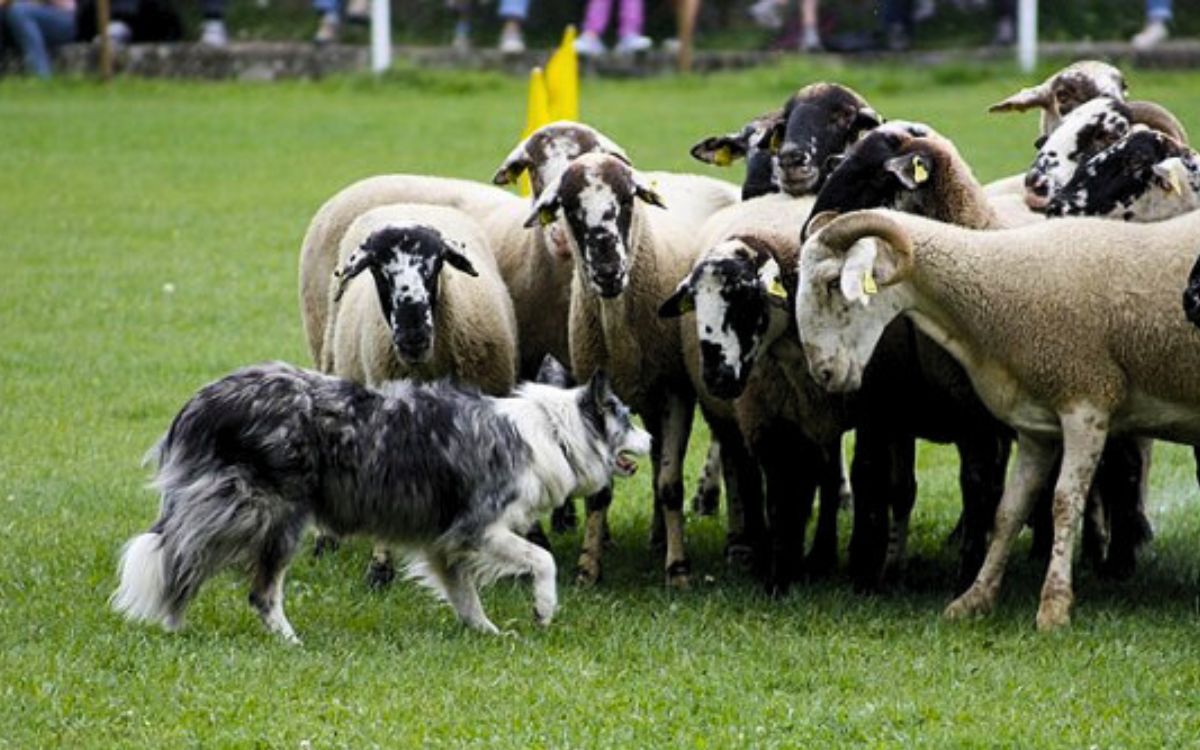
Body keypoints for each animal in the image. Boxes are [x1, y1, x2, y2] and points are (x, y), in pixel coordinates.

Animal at [112, 360, 652, 638]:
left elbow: (465, 595)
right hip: (271, 516)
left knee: (187, 561)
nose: (652, 440)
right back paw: (285, 640)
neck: (553, 431)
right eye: (626, 418)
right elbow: (542, 560)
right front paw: (543, 608)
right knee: (235, 582)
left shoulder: (444, 541)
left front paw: (488, 634)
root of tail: (199, 404)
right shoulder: (479, 526)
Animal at [796, 207, 1200, 628]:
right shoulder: (1037, 426)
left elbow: (1064, 503)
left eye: (832, 282)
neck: (1002, 284)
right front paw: (975, 598)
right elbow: (1009, 511)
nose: (823, 374)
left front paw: (1054, 607)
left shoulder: (1087, 400)